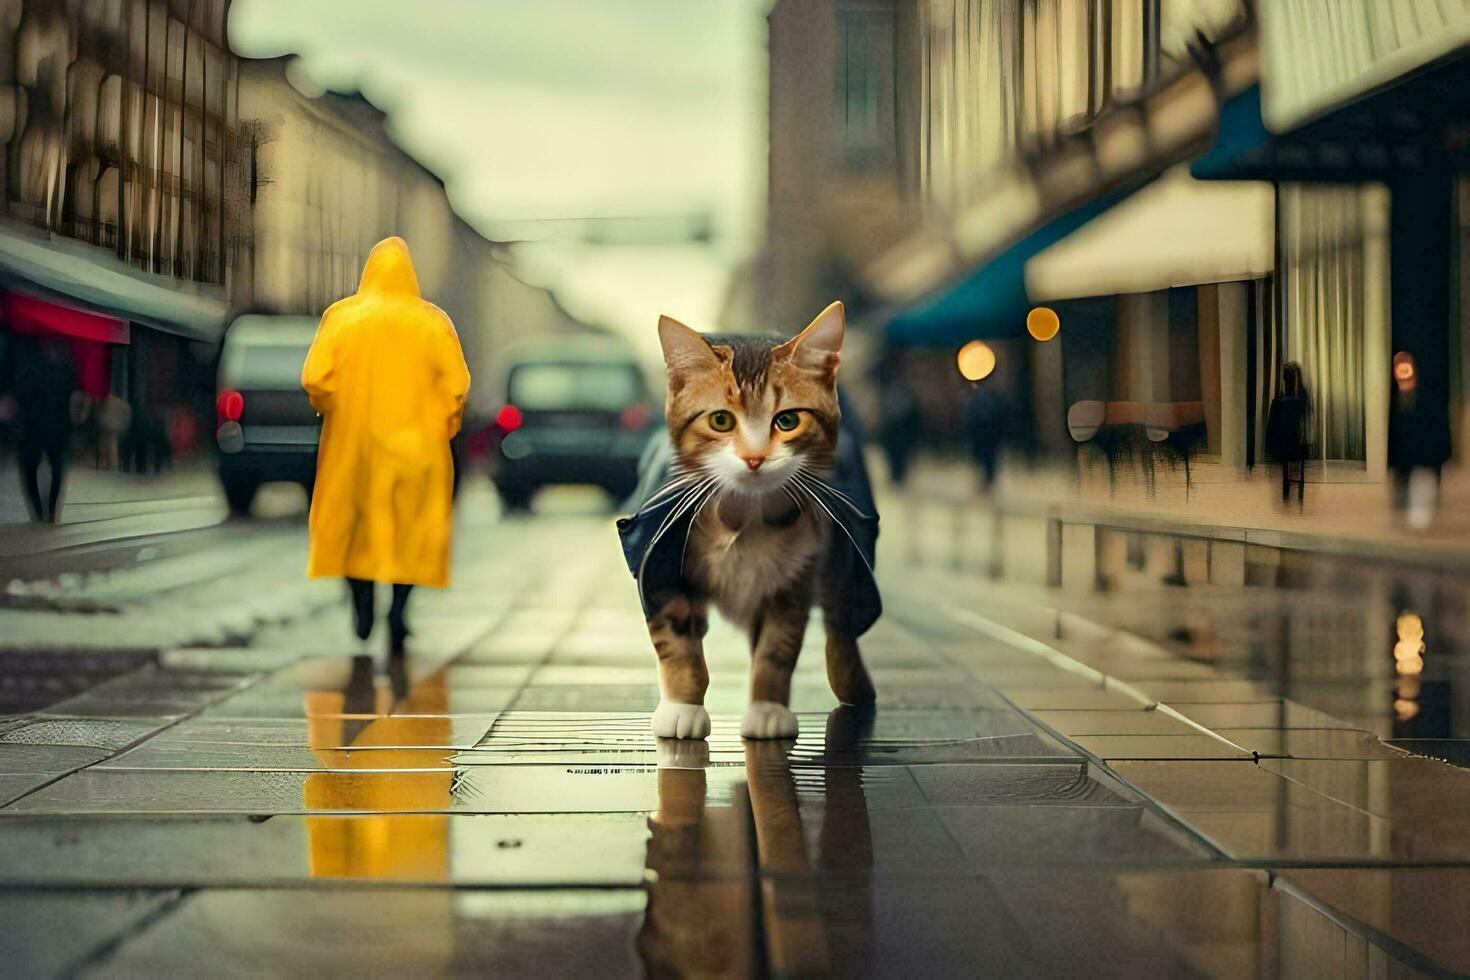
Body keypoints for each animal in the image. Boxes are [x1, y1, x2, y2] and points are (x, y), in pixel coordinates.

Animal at [614, 302, 876, 740]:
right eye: (721, 420)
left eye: (788, 421)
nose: (754, 458)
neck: (747, 511)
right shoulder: (663, 561)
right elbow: (677, 640)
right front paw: (683, 708)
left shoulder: (797, 574)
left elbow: (778, 647)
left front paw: (767, 708)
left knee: (840, 621)